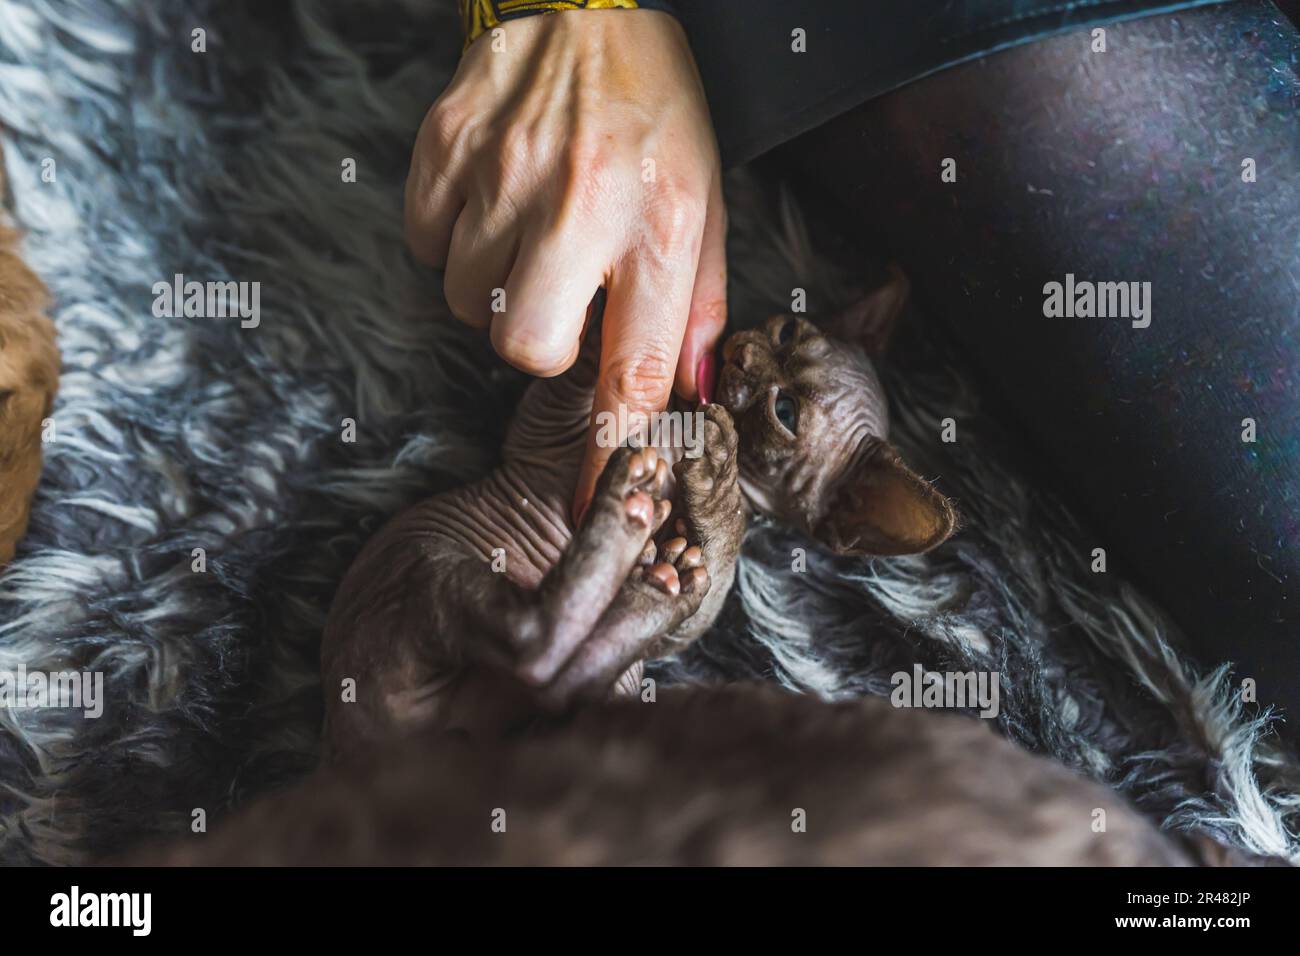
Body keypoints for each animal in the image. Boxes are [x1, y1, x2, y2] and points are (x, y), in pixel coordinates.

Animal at [325, 264, 956, 754]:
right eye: (786, 330)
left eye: (786, 412)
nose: (743, 355)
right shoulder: (544, 428)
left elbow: (722, 545)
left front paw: (718, 479)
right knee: (550, 670)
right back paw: (648, 565)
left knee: (543, 655)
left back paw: (641, 549)